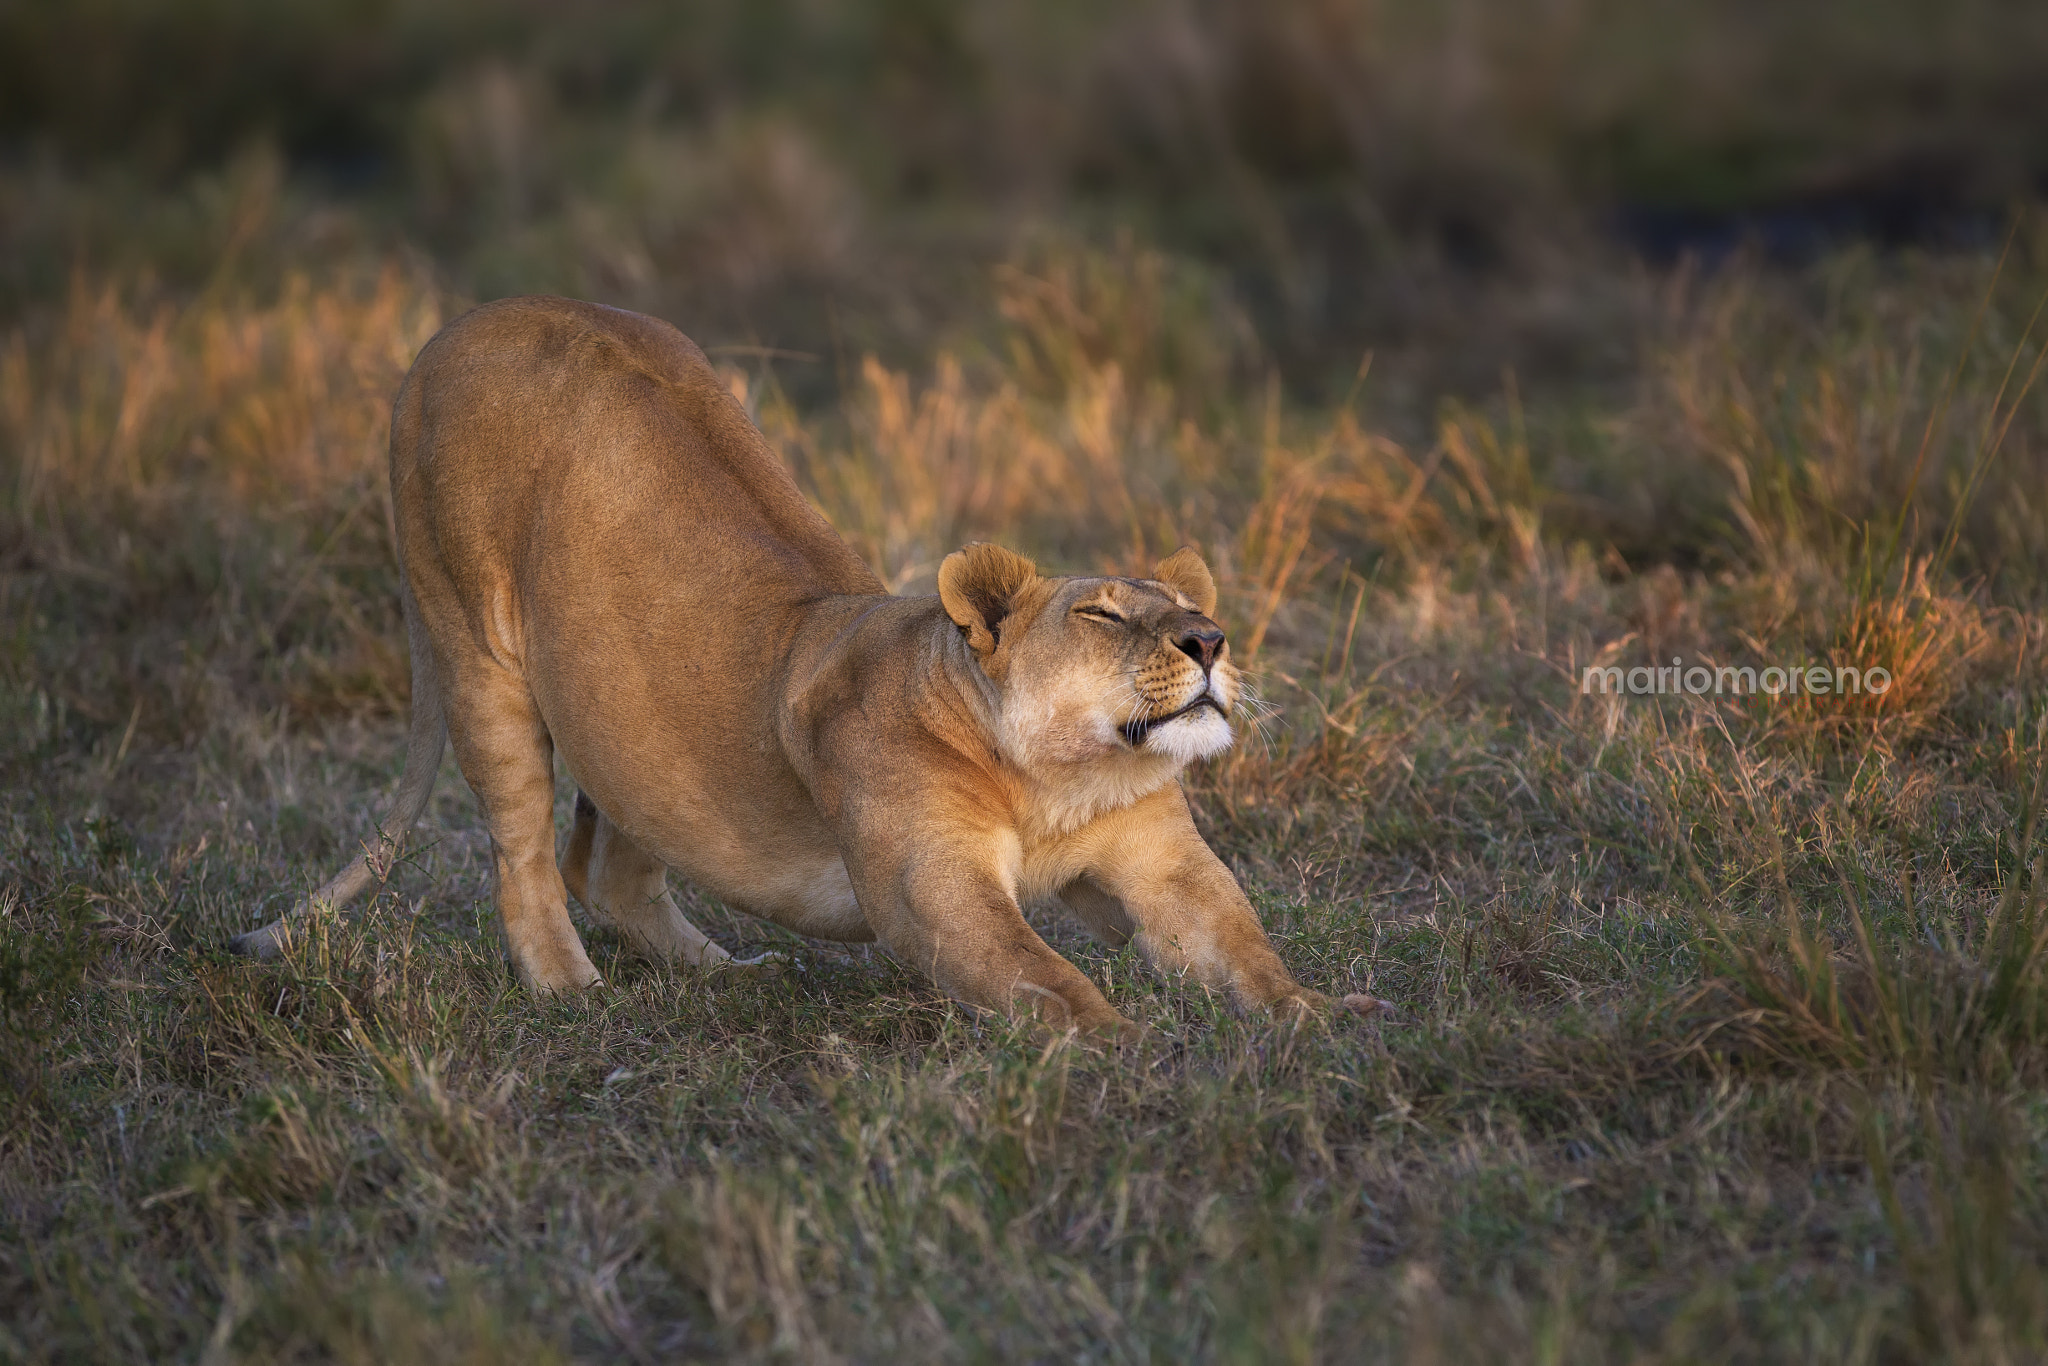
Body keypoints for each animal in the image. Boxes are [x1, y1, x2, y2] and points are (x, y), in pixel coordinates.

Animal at [239, 296, 1384, 1036]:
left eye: (1195, 611)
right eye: (1104, 612)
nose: (1210, 643)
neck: (1063, 780)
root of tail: (454, 327)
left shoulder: (1162, 864)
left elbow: (1246, 950)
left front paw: (1327, 1014)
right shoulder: (934, 894)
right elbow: (1042, 977)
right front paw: (1128, 1044)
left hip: (632, 709)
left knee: (605, 861)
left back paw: (724, 976)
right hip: (478, 651)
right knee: (523, 858)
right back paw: (570, 992)